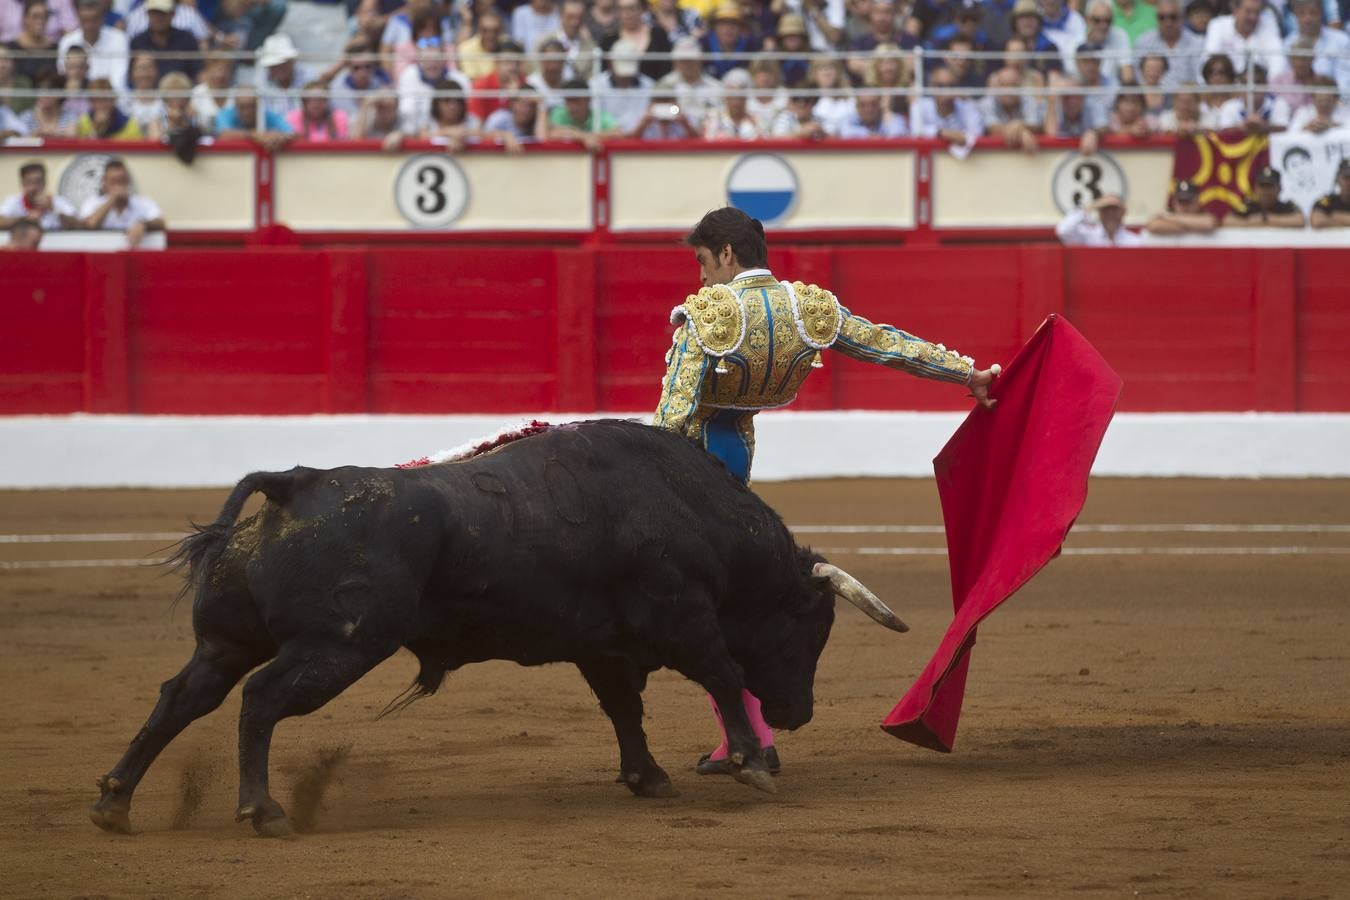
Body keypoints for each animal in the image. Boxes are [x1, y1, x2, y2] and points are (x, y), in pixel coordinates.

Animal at [87, 420, 907, 836]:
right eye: (812, 629)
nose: (798, 714)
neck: (690, 509)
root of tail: (298, 485)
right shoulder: (683, 617)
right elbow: (724, 673)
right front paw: (750, 762)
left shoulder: (604, 645)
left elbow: (624, 709)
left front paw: (648, 778)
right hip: (340, 645)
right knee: (258, 700)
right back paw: (262, 810)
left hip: (229, 641)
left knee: (182, 697)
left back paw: (114, 801)